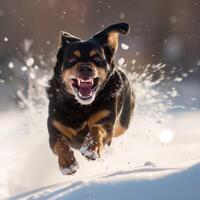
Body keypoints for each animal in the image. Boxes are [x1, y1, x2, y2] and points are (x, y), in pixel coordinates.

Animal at [46, 22, 135, 174]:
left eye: (97, 59)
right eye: (72, 60)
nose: (86, 68)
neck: (79, 107)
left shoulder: (107, 121)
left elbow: (96, 129)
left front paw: (91, 149)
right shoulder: (54, 129)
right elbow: (60, 143)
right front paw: (67, 163)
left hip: (123, 123)